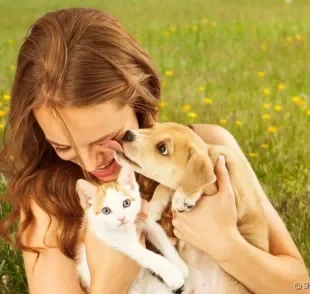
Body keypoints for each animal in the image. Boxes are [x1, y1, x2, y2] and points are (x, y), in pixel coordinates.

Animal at [74, 163, 189, 294]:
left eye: (126, 203)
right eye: (106, 210)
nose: (122, 218)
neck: (128, 228)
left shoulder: (146, 222)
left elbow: (163, 242)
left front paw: (180, 266)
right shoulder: (116, 240)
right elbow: (148, 255)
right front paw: (172, 275)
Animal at [114, 121, 268, 294]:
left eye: (162, 148)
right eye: (152, 127)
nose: (128, 134)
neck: (211, 154)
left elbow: (201, 182)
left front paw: (184, 196)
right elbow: (165, 186)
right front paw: (155, 205)